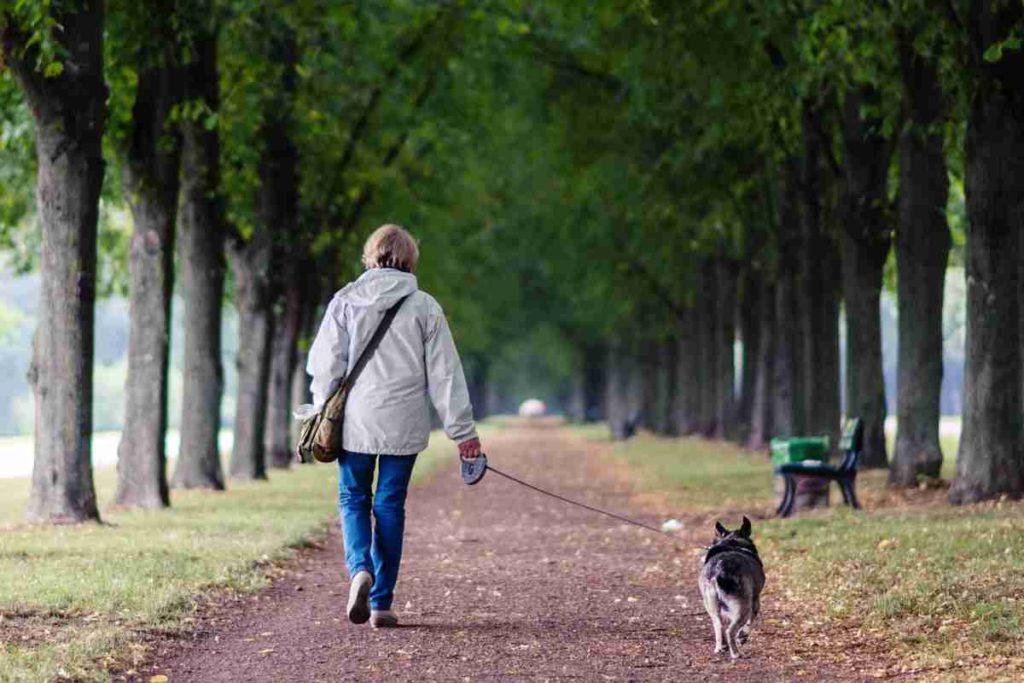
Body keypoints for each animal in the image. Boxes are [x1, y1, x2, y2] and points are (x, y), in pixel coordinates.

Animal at [700, 520, 765, 659]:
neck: (733, 542)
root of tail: (719, 569)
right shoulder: (755, 599)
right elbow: (750, 621)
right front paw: (743, 637)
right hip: (743, 605)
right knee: (730, 630)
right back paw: (736, 653)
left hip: (711, 606)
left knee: (719, 627)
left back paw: (720, 648)